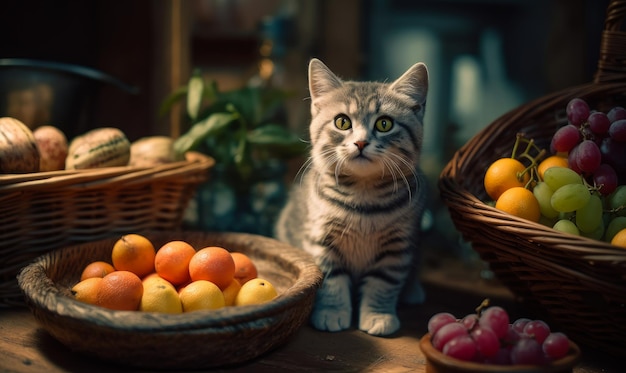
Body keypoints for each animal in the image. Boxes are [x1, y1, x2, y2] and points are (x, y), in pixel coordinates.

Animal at [276, 57, 426, 334]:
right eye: (342, 122)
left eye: (384, 124)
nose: (361, 142)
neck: (363, 195)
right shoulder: (321, 241)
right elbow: (331, 281)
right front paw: (332, 312)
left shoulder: (396, 249)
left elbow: (383, 285)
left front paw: (378, 315)